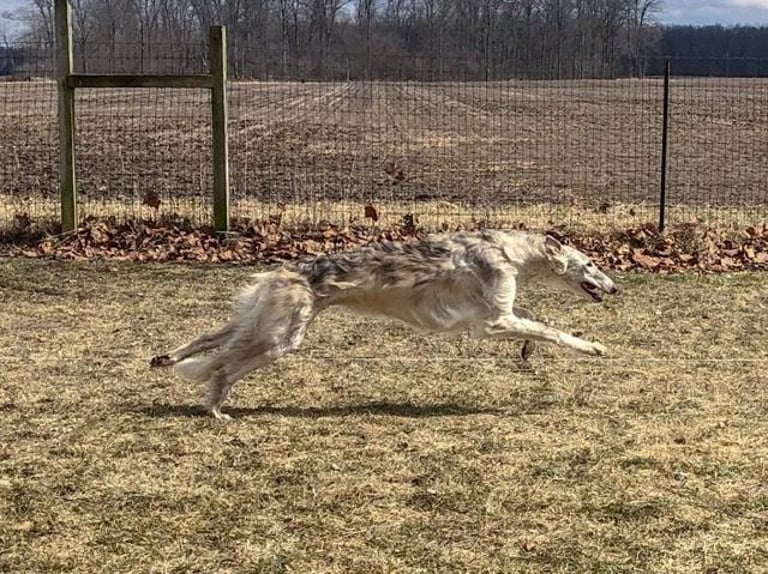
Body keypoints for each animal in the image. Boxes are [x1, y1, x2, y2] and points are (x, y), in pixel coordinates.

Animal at [150, 230, 618, 420]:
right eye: (590, 263)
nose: (615, 288)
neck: (510, 251)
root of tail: (284, 270)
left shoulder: (499, 316)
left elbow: (536, 324)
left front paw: (527, 350)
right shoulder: (493, 321)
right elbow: (551, 329)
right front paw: (594, 346)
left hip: (263, 323)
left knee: (210, 340)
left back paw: (165, 357)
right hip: (279, 338)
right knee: (223, 368)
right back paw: (215, 409)